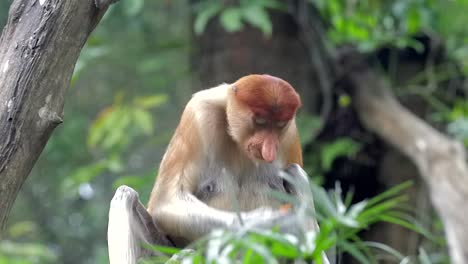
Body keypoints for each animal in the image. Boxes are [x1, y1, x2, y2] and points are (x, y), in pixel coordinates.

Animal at [148, 74, 324, 250]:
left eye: (280, 125)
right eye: (260, 121)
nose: (268, 148)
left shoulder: (291, 134)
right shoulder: (198, 114)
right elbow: (166, 202)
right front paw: (265, 224)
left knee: (295, 172)